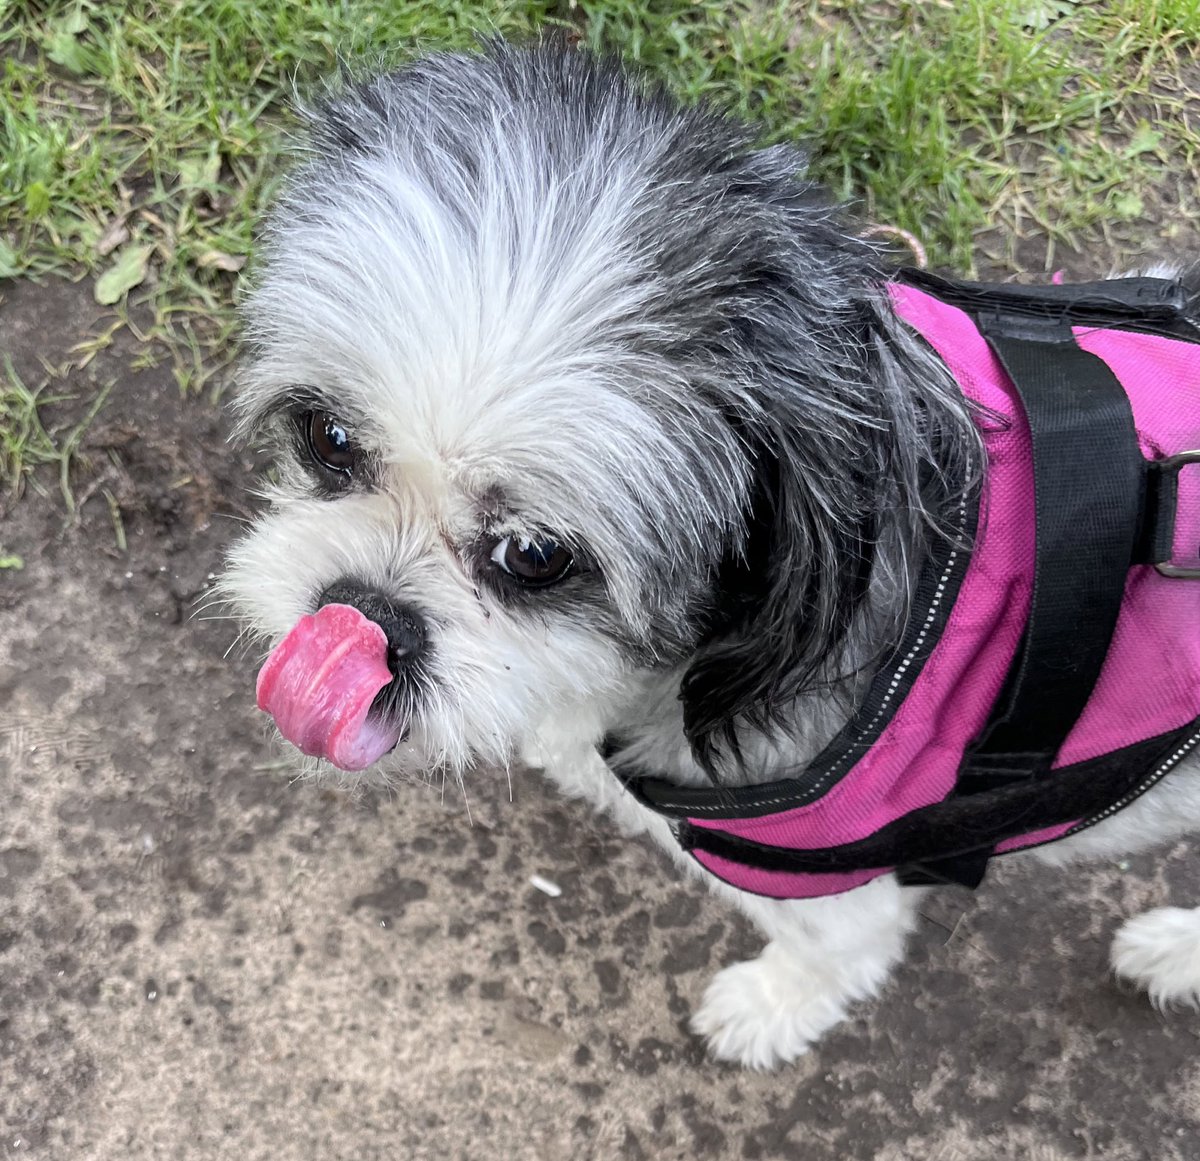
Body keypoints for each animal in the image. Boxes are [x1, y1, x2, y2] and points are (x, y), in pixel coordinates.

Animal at [220, 38, 1200, 1069]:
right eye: (326, 437)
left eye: (536, 554)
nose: (363, 614)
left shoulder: (829, 892)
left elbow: (836, 955)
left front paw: (769, 1006)